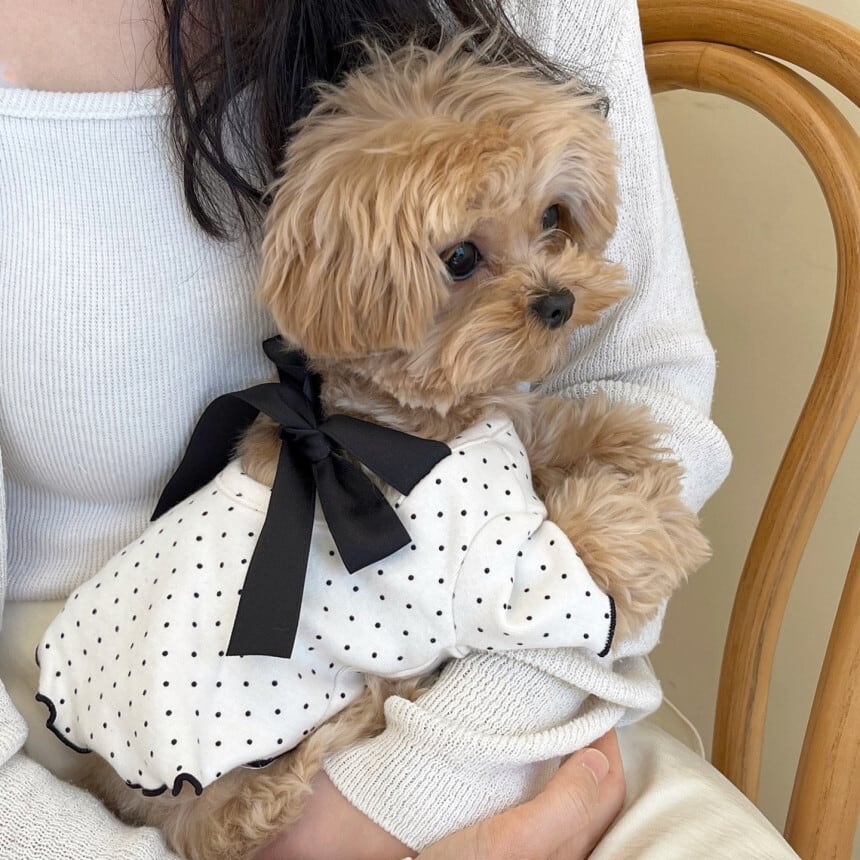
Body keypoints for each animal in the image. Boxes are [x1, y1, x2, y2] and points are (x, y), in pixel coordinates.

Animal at [35, 36, 710, 859]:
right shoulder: (493, 572)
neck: (393, 423)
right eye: (459, 258)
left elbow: (545, 427)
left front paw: (620, 436)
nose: (559, 301)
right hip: (236, 775)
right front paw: (654, 518)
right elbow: (585, 548)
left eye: (553, 215)